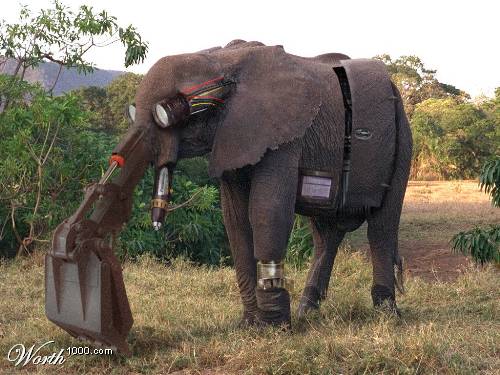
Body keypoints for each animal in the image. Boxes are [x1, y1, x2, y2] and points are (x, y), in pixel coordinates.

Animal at [127, 39, 412, 328]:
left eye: (166, 114)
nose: (157, 225)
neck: (223, 61)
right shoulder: (232, 137)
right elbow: (236, 220)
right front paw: (250, 324)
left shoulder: (284, 136)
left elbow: (268, 211)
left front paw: (275, 325)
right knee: (326, 234)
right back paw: (307, 311)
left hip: (402, 140)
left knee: (381, 227)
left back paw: (386, 315)